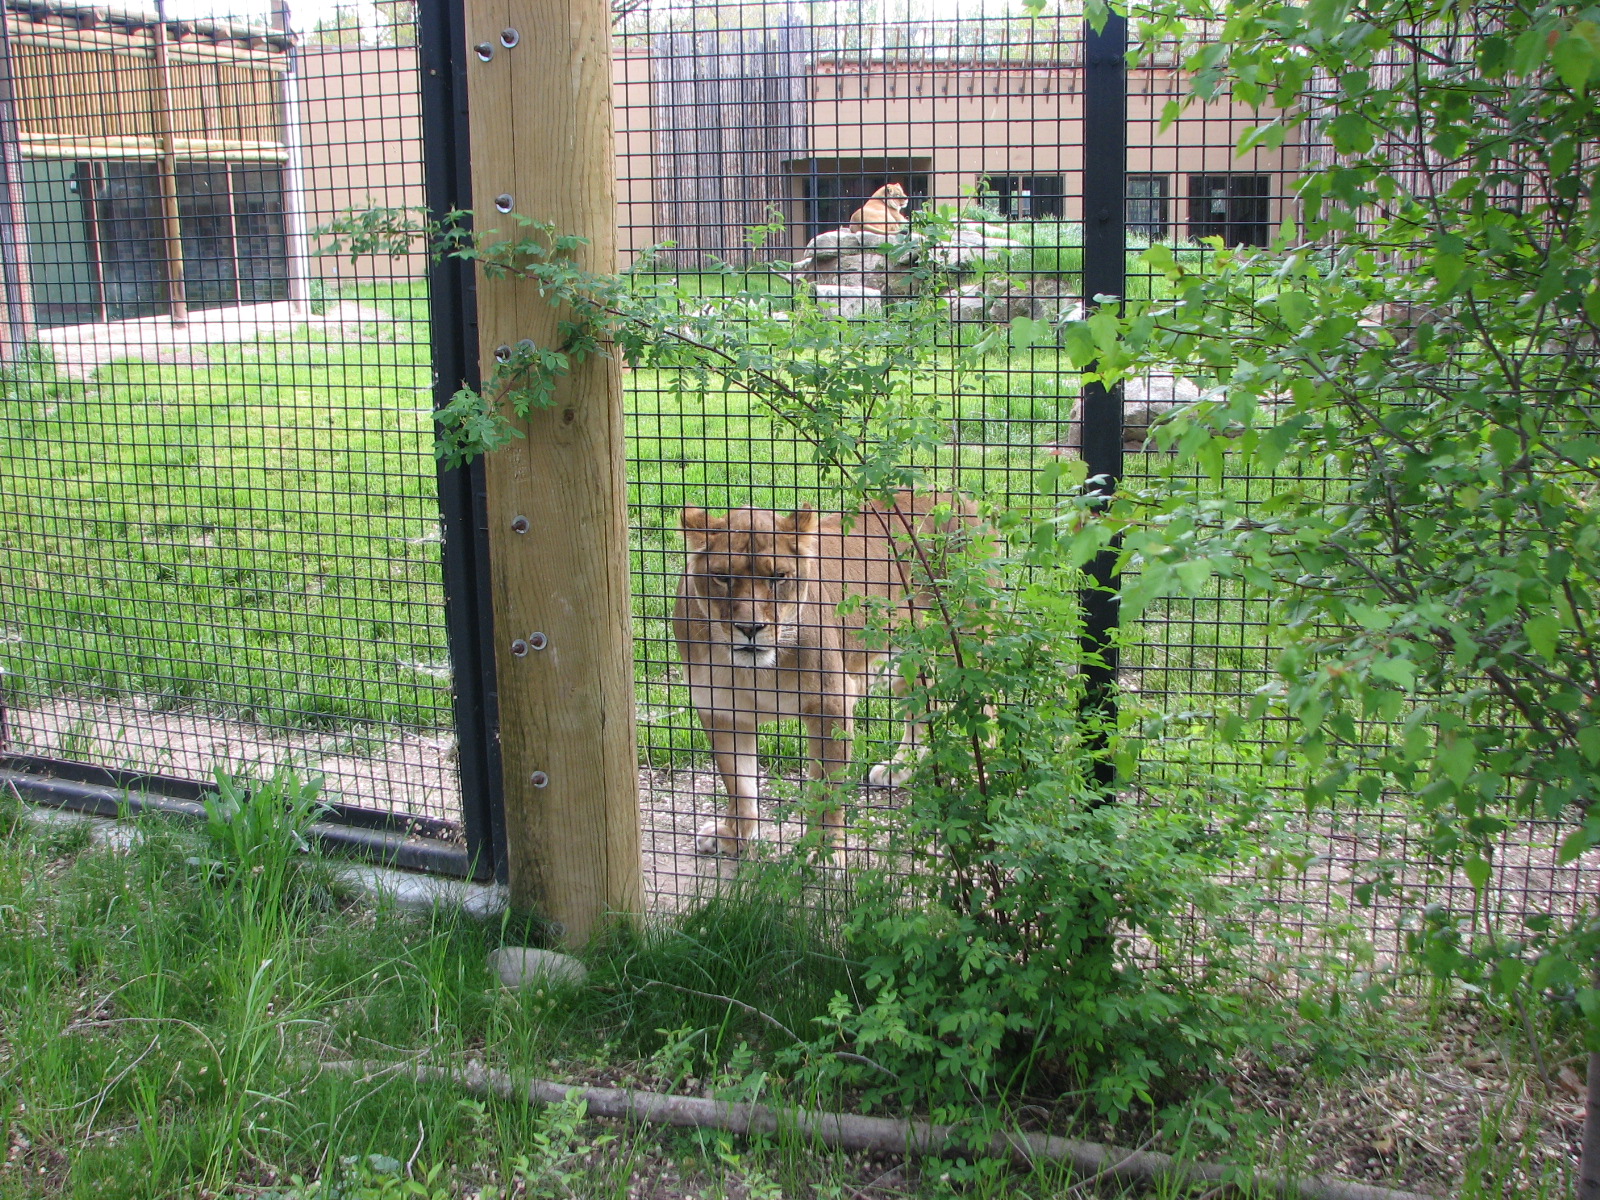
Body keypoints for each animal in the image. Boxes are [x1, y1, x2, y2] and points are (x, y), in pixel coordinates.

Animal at [673, 491, 973, 855]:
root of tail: (953, 492)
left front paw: (825, 852)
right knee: (924, 707)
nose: (750, 629)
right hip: (907, 657)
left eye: (779, 577)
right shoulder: (721, 711)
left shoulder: (831, 702)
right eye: (722, 577)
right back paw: (898, 770)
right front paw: (734, 836)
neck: (753, 672)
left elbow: (827, 791)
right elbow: (738, 784)